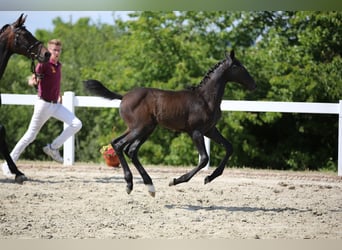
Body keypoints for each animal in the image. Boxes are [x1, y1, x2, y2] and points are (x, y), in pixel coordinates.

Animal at [85, 50, 256, 196]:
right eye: (239, 66)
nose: (253, 84)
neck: (205, 99)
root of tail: (123, 97)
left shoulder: (210, 130)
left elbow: (229, 147)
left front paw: (210, 177)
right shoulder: (196, 132)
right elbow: (204, 159)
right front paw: (176, 181)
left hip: (144, 128)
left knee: (130, 149)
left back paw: (149, 186)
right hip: (139, 128)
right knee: (119, 145)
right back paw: (130, 184)